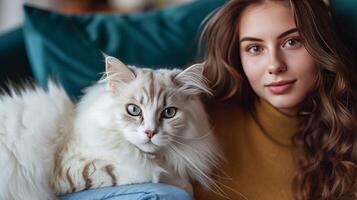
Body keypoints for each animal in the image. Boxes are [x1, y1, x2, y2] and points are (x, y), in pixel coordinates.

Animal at [0, 56, 221, 200]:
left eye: (169, 113)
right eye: (133, 110)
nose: (150, 132)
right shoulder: (70, 168)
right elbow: (149, 172)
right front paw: (180, 184)